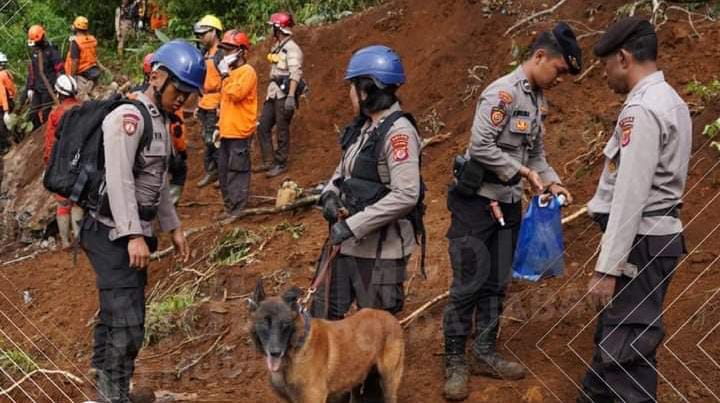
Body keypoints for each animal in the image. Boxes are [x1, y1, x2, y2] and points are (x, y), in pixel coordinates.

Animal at [248, 280, 404, 403]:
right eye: (264, 323)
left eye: (285, 324)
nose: (275, 352)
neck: (297, 349)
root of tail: (389, 315)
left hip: (388, 380)